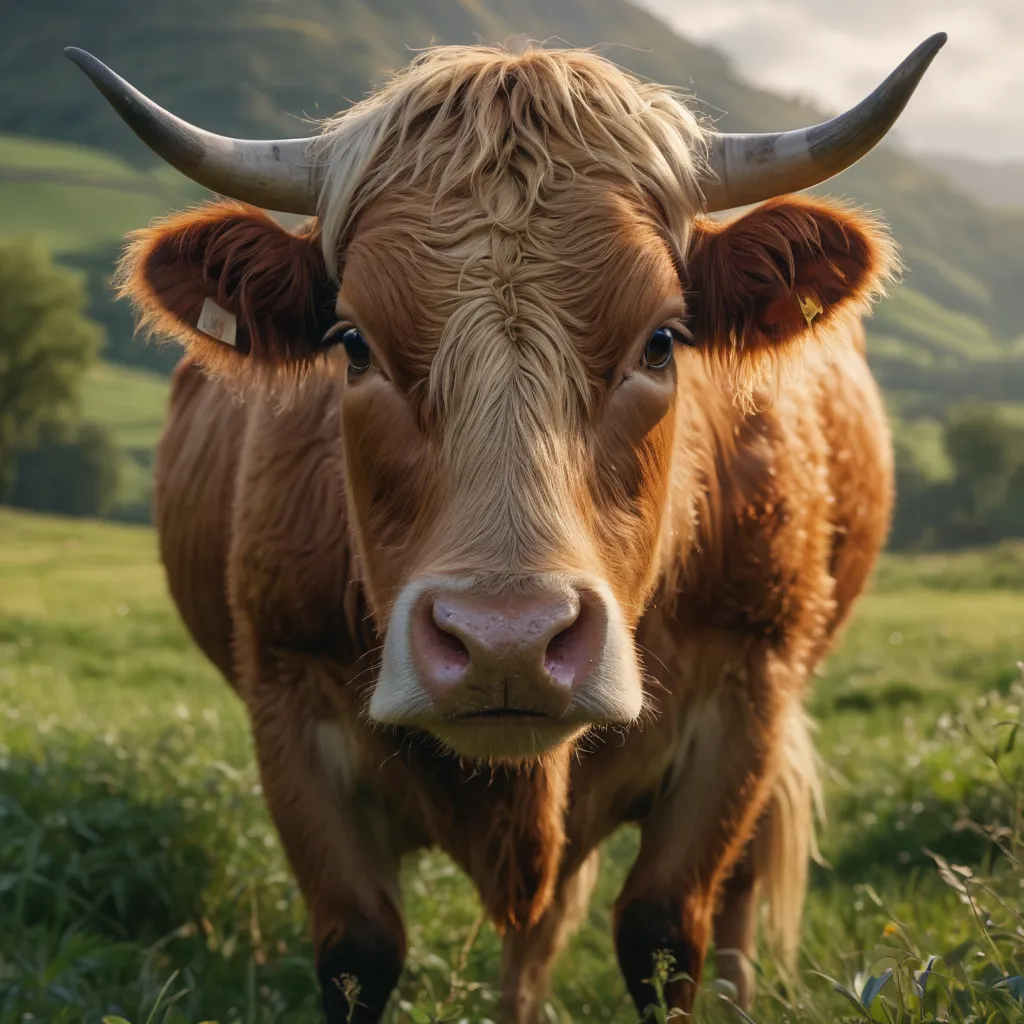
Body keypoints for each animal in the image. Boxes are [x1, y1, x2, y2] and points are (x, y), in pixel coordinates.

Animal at [68, 33, 945, 1023]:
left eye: (662, 341)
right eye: (353, 343)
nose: (507, 643)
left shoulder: (746, 691)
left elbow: (665, 932)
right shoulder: (286, 701)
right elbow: (358, 947)